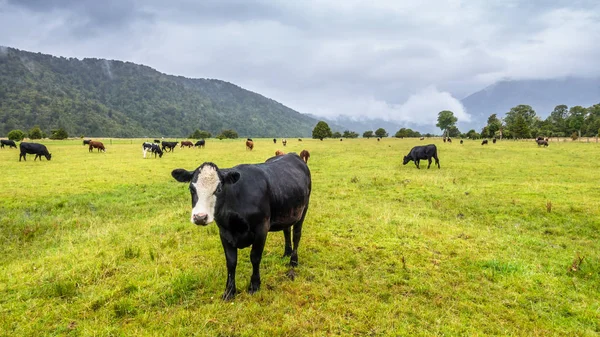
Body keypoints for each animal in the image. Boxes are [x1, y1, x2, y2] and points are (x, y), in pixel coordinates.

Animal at [171, 153, 312, 300]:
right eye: (191, 189)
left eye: (219, 189)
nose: (200, 217)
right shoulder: (224, 232)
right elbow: (231, 261)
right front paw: (229, 291)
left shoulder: (262, 228)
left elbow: (255, 257)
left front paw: (254, 285)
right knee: (286, 230)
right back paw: (286, 253)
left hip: (303, 209)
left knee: (296, 234)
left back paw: (293, 261)